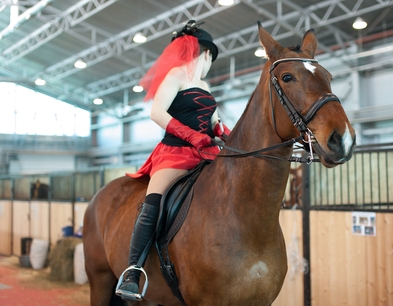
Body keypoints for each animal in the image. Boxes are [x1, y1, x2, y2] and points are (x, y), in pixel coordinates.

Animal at [82, 23, 356, 306]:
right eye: (288, 77)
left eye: (328, 76)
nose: (343, 139)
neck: (247, 218)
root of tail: (98, 196)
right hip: (100, 279)